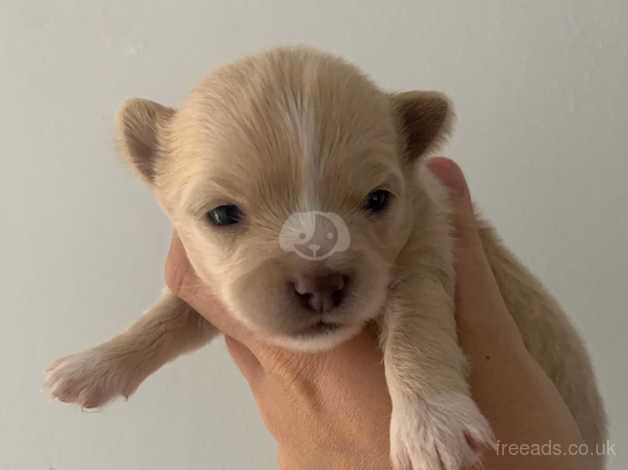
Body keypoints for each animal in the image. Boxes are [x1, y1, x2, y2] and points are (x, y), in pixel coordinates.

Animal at [44, 47, 604, 470]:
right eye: (223, 214)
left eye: (377, 199)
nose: (320, 287)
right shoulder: (214, 292)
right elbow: (166, 317)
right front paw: (94, 364)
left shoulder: (427, 248)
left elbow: (415, 329)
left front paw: (431, 425)